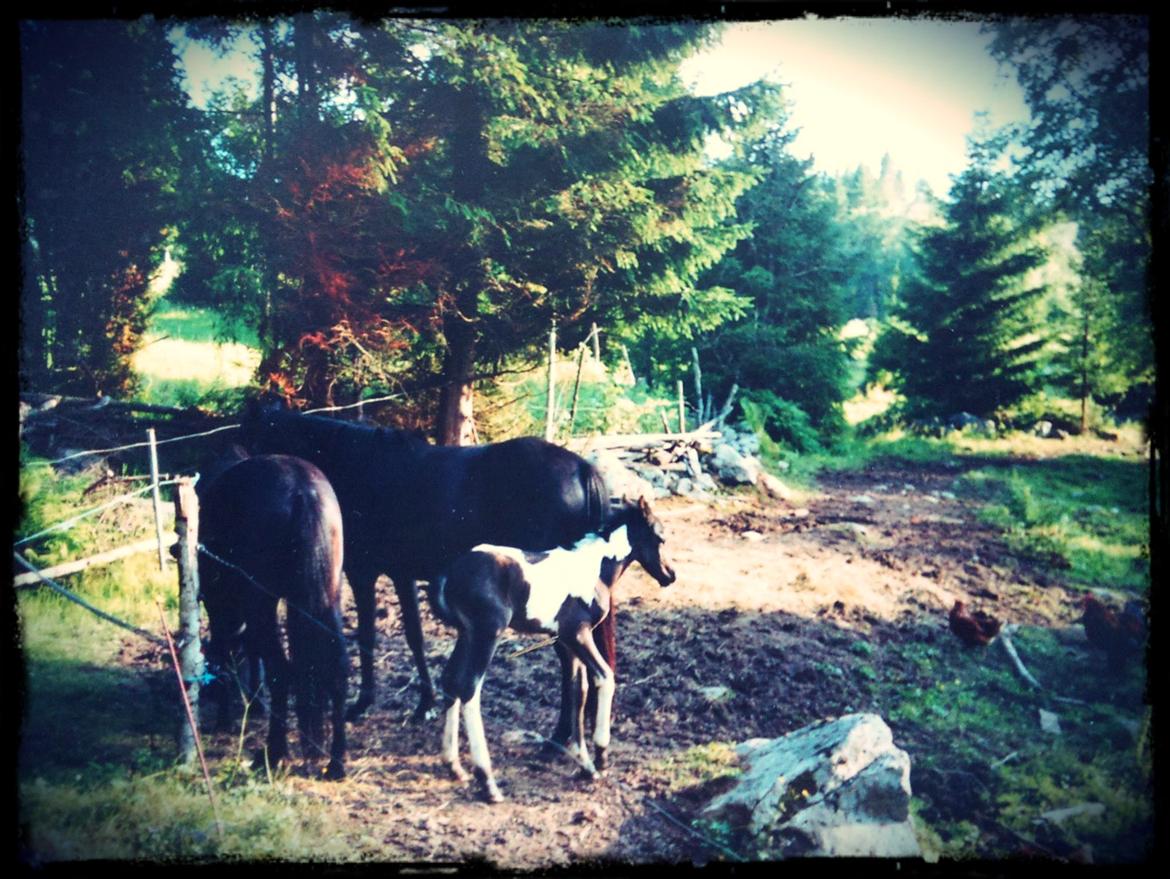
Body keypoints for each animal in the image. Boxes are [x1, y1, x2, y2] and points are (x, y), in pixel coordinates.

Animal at [196, 454, 348, 777]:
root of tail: (303, 492)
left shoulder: (220, 607)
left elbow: (225, 652)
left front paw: (227, 717)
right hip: (329, 600)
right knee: (337, 668)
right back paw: (337, 762)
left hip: (261, 604)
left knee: (281, 670)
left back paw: (272, 753)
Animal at [232, 397, 608, 720]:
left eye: (252, 438)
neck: (360, 467)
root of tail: (580, 468)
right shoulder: (402, 575)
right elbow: (414, 635)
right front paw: (424, 703)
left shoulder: (363, 573)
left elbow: (368, 635)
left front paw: (363, 703)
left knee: (569, 661)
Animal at [432, 498, 678, 800]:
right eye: (660, 537)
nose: (670, 575)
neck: (594, 568)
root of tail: (449, 573)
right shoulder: (578, 633)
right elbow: (604, 677)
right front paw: (601, 755)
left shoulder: (566, 640)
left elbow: (577, 691)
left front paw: (585, 765)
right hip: (487, 633)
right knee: (469, 689)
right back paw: (487, 782)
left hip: (466, 634)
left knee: (450, 681)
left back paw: (454, 766)